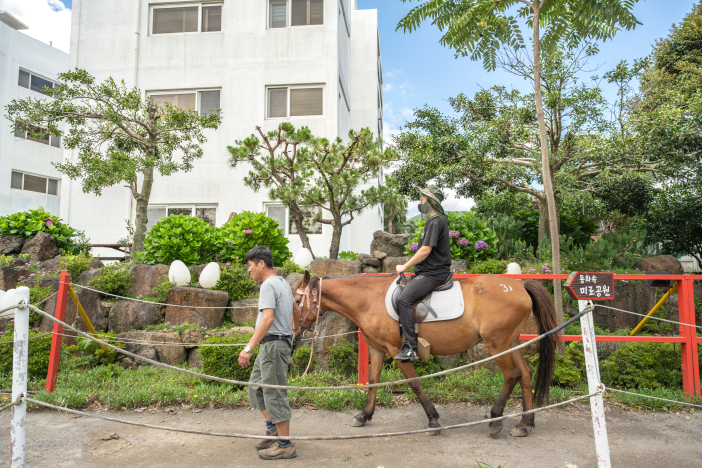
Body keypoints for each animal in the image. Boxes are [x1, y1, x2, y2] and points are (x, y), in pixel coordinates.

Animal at [294, 272, 560, 436]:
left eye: (297, 301)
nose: (294, 332)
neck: (370, 299)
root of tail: (519, 285)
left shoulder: (396, 351)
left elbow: (414, 383)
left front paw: (433, 419)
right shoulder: (378, 349)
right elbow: (373, 381)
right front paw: (364, 415)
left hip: (498, 344)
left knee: (512, 375)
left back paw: (496, 419)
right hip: (510, 342)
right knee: (525, 374)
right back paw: (525, 423)